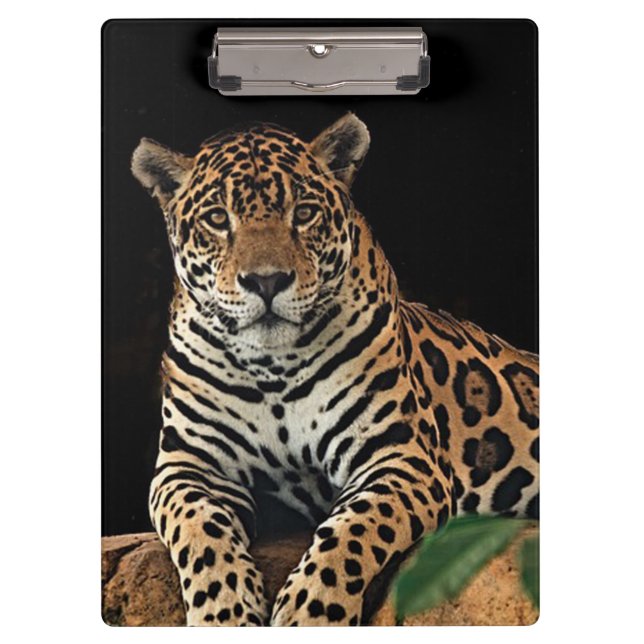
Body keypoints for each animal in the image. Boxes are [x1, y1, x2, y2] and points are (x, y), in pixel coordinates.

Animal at [130, 112, 539, 626]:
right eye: (218, 219)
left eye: (304, 213)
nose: (267, 281)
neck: (271, 368)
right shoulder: (188, 465)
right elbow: (200, 531)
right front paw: (224, 614)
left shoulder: (400, 456)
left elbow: (354, 530)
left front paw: (309, 614)